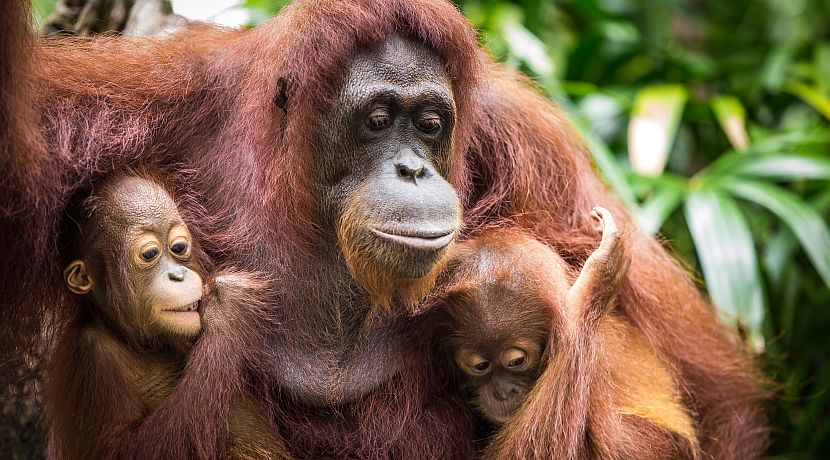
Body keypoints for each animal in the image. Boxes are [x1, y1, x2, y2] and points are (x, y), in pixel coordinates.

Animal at [46, 175, 287, 459]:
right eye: (150, 254)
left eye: (179, 247)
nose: (178, 275)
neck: (137, 341)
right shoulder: (92, 354)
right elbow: (124, 450)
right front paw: (229, 309)